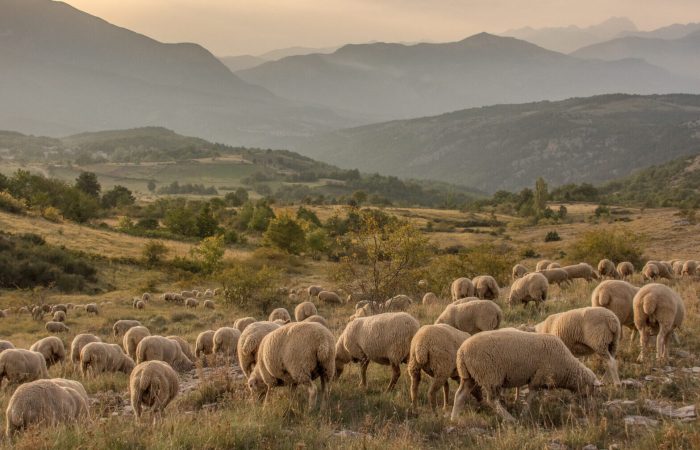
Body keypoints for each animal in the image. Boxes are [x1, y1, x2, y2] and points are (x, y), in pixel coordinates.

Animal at [450, 328, 601, 423]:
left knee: (460, 395)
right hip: (489, 375)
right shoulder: (538, 377)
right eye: (591, 391)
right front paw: (524, 415)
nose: (592, 411)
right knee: (492, 400)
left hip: (469, 376)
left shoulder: (540, 380)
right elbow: (530, 398)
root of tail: (461, 351)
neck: (567, 366)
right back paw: (510, 418)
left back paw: (454, 418)